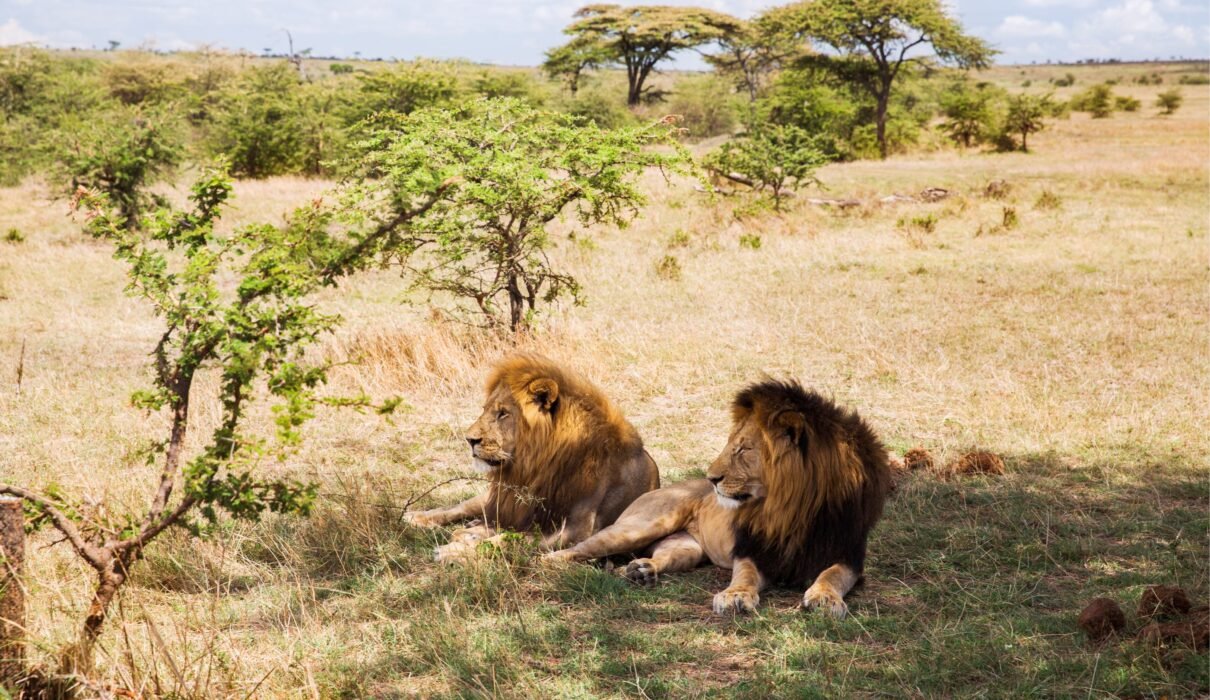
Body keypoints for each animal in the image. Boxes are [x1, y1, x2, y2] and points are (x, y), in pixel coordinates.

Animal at [404, 353, 660, 562]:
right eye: (485, 409)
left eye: (503, 413)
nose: (469, 440)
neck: (537, 467)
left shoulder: (575, 531)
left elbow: (507, 539)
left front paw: (454, 551)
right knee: (463, 506)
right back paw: (417, 516)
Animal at [548, 379, 890, 618]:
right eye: (732, 446)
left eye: (743, 449)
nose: (712, 479)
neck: (792, 508)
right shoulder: (752, 550)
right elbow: (746, 575)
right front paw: (735, 596)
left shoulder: (848, 555)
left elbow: (832, 575)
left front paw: (824, 598)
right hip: (640, 526)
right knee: (566, 552)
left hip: (685, 548)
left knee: (657, 558)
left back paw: (641, 572)